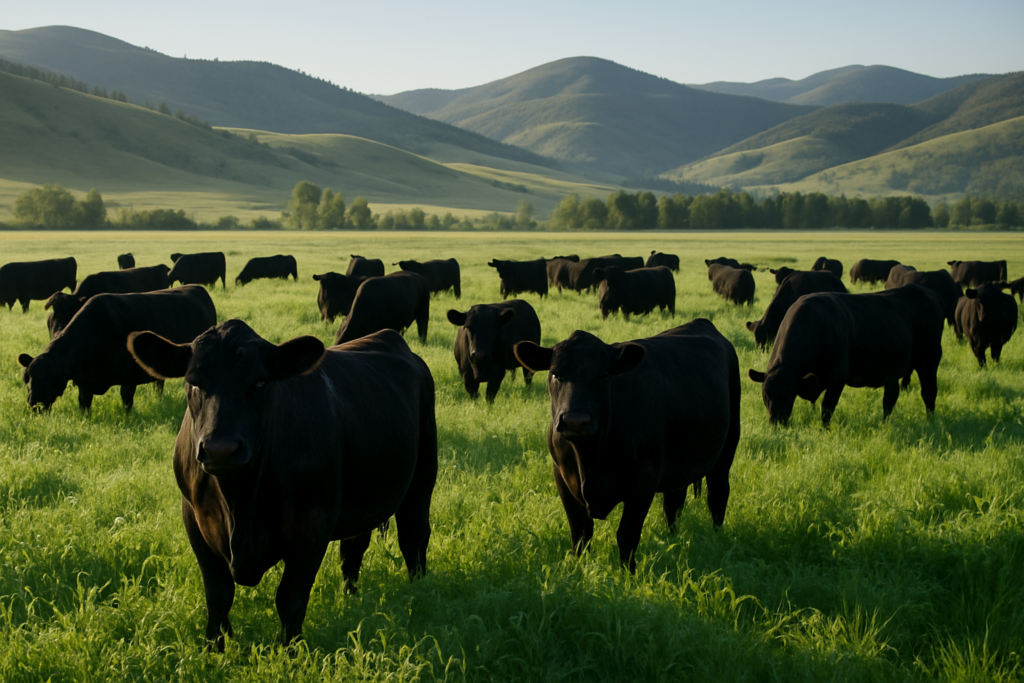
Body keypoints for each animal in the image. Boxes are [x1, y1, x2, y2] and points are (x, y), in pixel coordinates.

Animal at [18, 286, 216, 412]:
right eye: (26, 378)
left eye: (51, 379)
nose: (33, 404)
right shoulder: (84, 382)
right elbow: (84, 404)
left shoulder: (130, 376)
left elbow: (127, 400)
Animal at [126, 320, 437, 648]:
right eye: (194, 382)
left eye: (260, 383)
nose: (220, 449)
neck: (239, 504)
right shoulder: (194, 521)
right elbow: (218, 595)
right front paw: (214, 647)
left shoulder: (313, 527)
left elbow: (290, 599)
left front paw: (289, 650)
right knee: (354, 548)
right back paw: (350, 597)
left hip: (422, 477)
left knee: (414, 537)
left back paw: (418, 592)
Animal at [513, 320, 741, 573]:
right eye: (556, 374)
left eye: (603, 376)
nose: (576, 421)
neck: (590, 460)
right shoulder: (562, 477)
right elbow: (580, 535)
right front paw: (580, 572)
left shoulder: (644, 481)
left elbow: (627, 535)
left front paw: (627, 575)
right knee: (673, 502)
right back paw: (672, 538)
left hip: (727, 446)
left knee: (717, 493)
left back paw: (717, 537)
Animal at [748, 285, 945, 427]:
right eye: (765, 395)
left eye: (790, 395)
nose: (776, 422)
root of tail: (924, 291)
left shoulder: (837, 379)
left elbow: (827, 408)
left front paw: (824, 430)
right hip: (892, 371)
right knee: (890, 397)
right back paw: (885, 422)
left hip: (929, 360)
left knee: (929, 392)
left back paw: (930, 421)